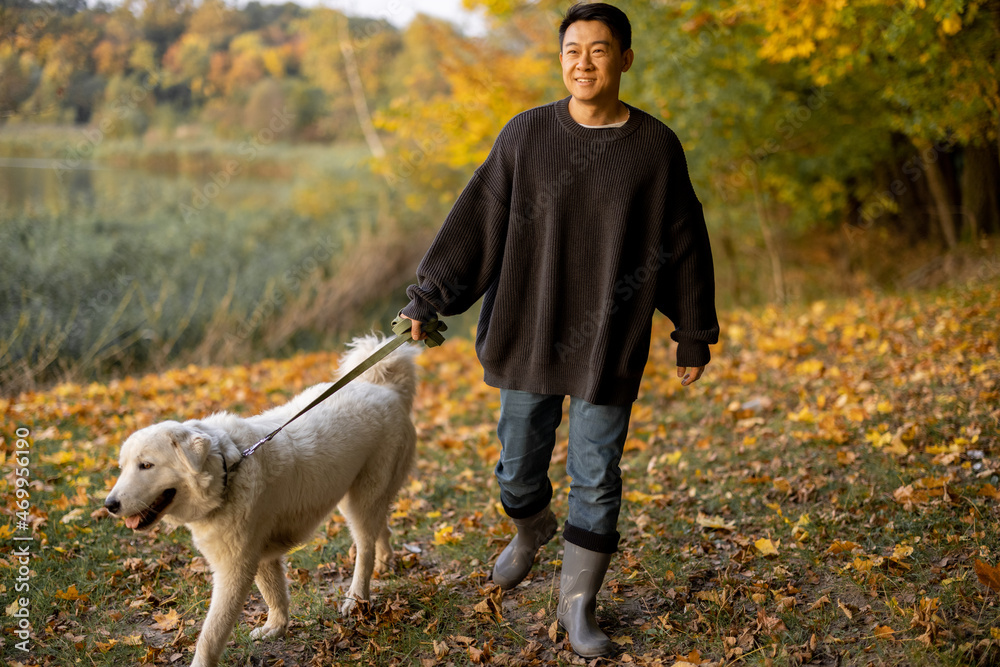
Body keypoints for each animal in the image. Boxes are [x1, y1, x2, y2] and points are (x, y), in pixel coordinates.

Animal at [107, 336, 420, 667]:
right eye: (122, 467)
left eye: (146, 465)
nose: (109, 505)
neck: (228, 470)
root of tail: (386, 389)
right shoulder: (260, 556)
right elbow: (274, 595)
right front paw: (276, 628)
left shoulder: (234, 570)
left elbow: (211, 634)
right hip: (367, 498)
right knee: (380, 529)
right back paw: (385, 562)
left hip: (359, 500)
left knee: (365, 548)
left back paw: (356, 598)